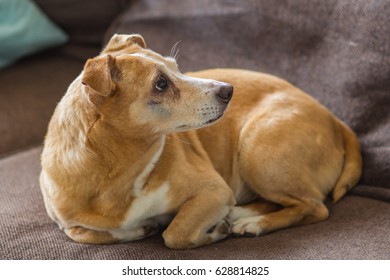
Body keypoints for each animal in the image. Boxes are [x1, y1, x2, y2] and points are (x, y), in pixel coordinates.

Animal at [40, 33, 362, 249]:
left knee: (314, 206)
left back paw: (252, 223)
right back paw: (241, 213)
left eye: (176, 66)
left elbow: (174, 234)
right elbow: (86, 234)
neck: (120, 171)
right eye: (161, 84)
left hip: (257, 150)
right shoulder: (66, 223)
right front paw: (140, 229)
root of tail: (333, 118)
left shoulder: (213, 190)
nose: (229, 90)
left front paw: (214, 231)